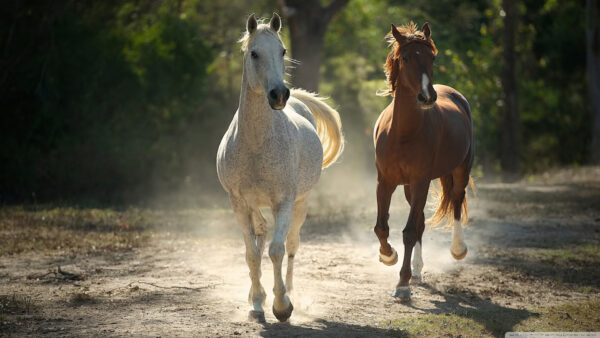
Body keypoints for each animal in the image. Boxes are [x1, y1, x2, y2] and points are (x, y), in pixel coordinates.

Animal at [218, 13, 344, 322]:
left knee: (291, 246)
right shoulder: (239, 203)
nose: (278, 95)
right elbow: (252, 253)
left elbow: (276, 250)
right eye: (254, 53)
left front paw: (282, 305)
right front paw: (256, 303)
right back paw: (257, 296)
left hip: (301, 203)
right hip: (255, 205)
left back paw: (290, 294)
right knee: (260, 235)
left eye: (283, 51)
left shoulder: (284, 202)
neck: (255, 144)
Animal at [372, 21, 476, 302]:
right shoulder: (385, 182)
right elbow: (382, 227)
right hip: (409, 187)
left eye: (432, 57)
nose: (427, 96)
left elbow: (408, 232)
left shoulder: (420, 181)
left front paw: (402, 284)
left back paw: (458, 249)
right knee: (419, 222)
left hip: (460, 169)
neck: (403, 133)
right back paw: (417, 270)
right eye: (405, 58)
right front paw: (388, 256)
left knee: (456, 201)